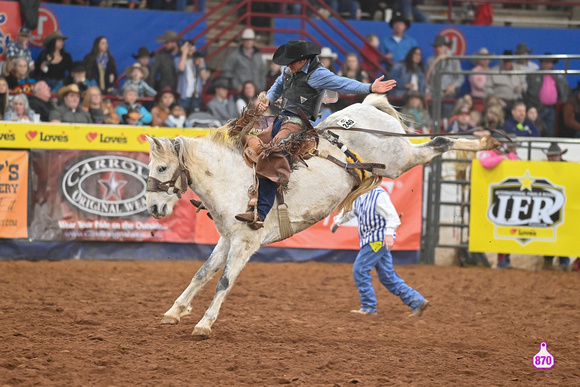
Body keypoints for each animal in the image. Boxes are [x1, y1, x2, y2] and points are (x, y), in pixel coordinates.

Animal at [147, 93, 496, 336]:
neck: (233, 179)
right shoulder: (227, 239)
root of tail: (367, 107)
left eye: (161, 168)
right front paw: (174, 311)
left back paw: (484, 141)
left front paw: (204, 324)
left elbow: (224, 281)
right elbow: (202, 273)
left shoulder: (246, 242)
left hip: (401, 159)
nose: (152, 207)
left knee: (440, 141)